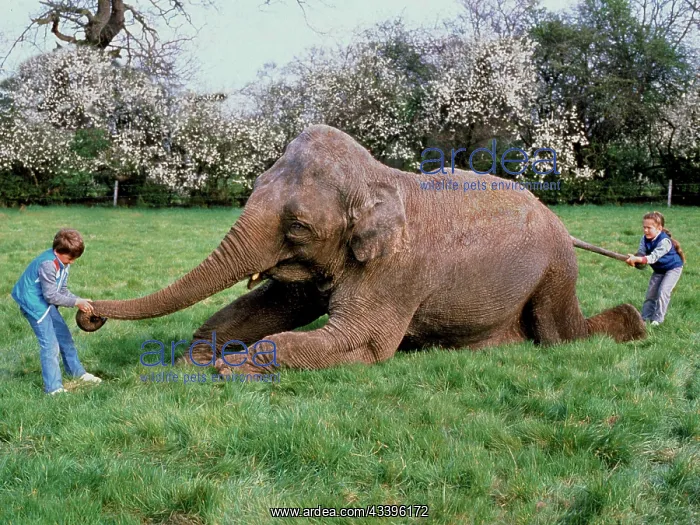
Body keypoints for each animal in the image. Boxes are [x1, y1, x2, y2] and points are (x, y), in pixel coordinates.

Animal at [77, 124, 646, 374]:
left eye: (298, 226)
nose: (87, 314)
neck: (378, 177)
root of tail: (562, 224)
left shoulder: (397, 272)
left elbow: (362, 343)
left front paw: (231, 368)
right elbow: (270, 307)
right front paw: (193, 359)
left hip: (555, 271)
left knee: (561, 336)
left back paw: (634, 327)